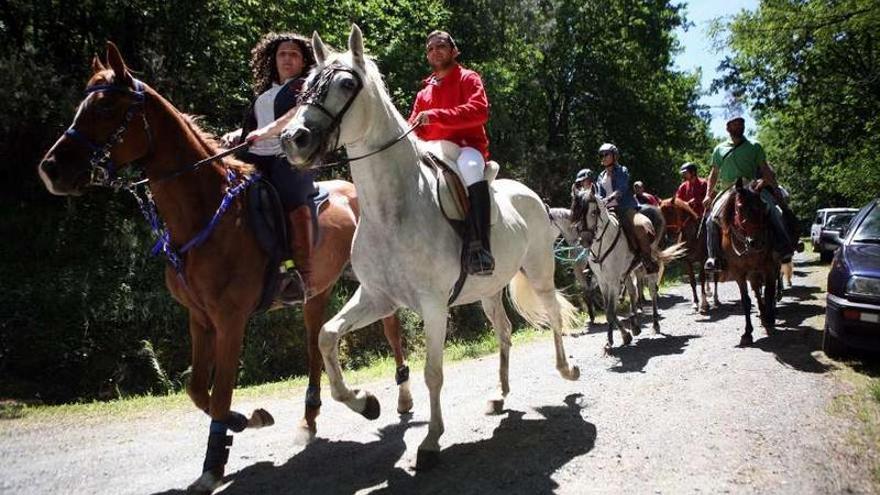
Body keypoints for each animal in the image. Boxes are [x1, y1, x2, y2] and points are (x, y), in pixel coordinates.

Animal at [37, 41, 412, 492]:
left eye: (107, 107)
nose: (51, 169)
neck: (205, 214)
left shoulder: (230, 319)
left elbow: (218, 392)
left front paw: (213, 464)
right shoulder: (199, 318)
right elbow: (198, 389)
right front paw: (246, 419)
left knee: (391, 331)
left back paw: (399, 400)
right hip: (316, 293)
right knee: (312, 347)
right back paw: (309, 418)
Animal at [282, 26, 580, 468]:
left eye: (347, 84)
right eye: (306, 85)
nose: (293, 139)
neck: (393, 209)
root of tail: (530, 194)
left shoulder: (433, 304)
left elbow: (433, 373)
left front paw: (430, 441)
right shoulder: (377, 298)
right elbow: (327, 336)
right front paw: (365, 402)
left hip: (540, 273)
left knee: (554, 316)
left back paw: (567, 371)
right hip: (488, 290)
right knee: (505, 332)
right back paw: (499, 396)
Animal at [576, 189, 684, 352]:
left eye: (594, 212)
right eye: (576, 211)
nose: (585, 240)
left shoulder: (613, 281)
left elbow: (610, 310)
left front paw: (616, 339)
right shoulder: (603, 281)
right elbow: (609, 310)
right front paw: (620, 337)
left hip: (648, 265)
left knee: (652, 291)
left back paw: (655, 325)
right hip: (629, 271)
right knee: (633, 292)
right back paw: (635, 325)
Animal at [716, 178, 776, 344]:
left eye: (763, 206)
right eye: (740, 207)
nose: (758, 242)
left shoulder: (769, 267)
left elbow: (769, 292)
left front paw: (769, 319)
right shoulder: (739, 273)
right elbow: (746, 301)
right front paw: (747, 333)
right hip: (753, 273)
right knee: (757, 291)